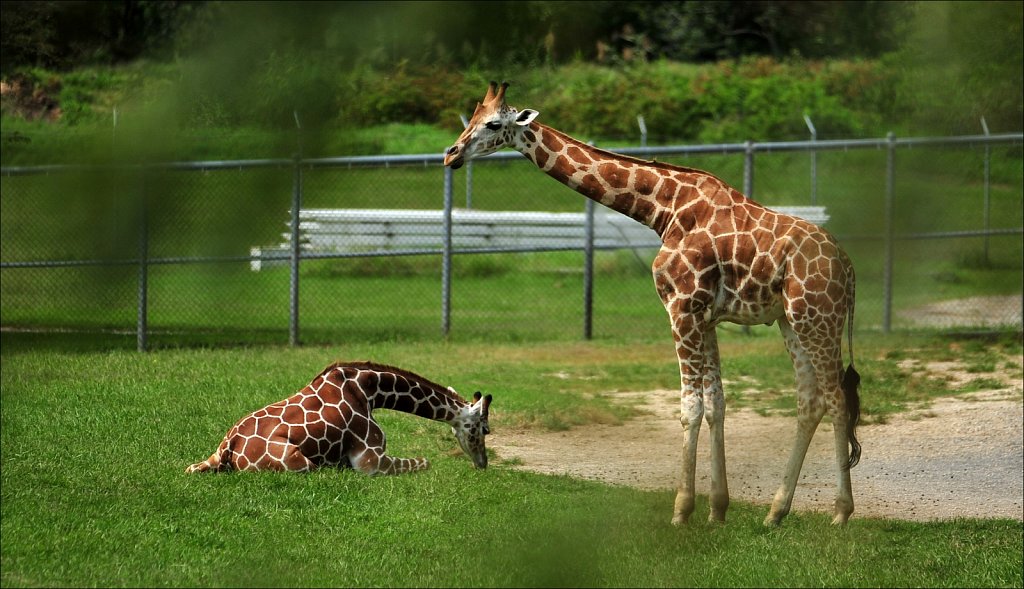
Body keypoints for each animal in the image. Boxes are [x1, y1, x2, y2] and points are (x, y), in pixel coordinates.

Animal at [187, 362, 491, 477]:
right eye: (484, 429)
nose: (483, 463)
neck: (370, 391)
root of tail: (228, 448)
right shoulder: (370, 460)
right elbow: (426, 461)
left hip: (202, 461)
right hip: (301, 463)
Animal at [444, 80, 860, 528]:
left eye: (493, 123)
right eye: (470, 117)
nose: (451, 154)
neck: (663, 209)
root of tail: (848, 268)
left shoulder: (681, 307)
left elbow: (690, 407)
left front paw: (681, 511)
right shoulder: (705, 316)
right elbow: (716, 404)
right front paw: (717, 510)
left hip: (818, 318)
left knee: (837, 399)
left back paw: (840, 513)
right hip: (792, 321)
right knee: (810, 401)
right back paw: (775, 513)